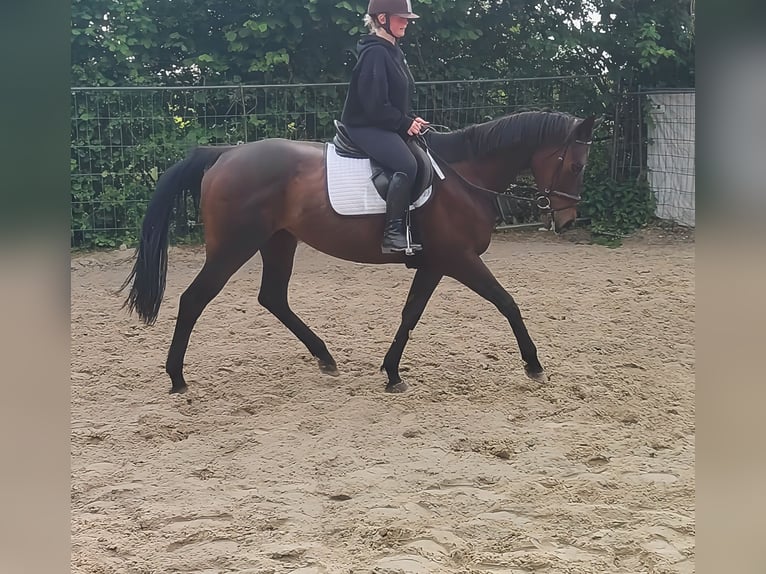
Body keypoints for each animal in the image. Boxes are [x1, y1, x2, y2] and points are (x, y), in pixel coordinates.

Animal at [121, 111, 598, 394]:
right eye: (576, 165)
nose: (567, 220)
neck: (464, 177)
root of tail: (224, 155)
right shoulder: (460, 260)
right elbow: (507, 302)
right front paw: (533, 364)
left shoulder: (435, 264)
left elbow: (411, 313)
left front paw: (391, 372)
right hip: (234, 247)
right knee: (194, 299)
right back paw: (177, 377)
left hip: (279, 241)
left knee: (272, 297)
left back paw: (325, 357)